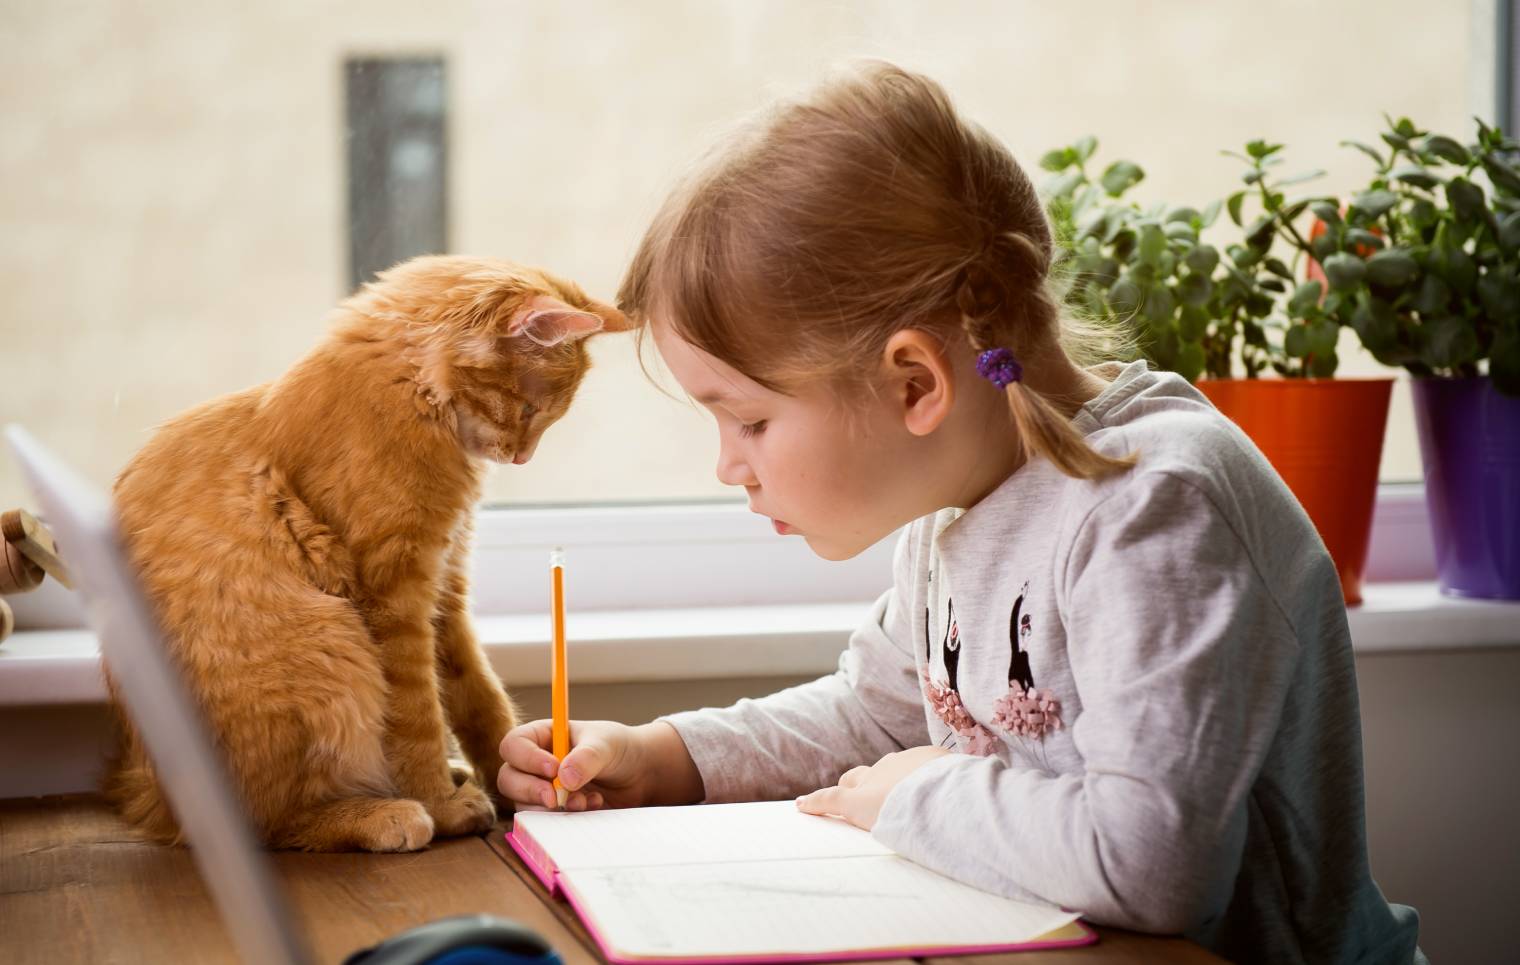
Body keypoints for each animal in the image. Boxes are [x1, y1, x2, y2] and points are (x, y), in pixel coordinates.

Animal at [108, 256, 629, 851]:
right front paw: (441, 803)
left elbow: (479, 698)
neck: (416, 398)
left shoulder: (444, 589)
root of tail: (153, 799)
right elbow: (418, 717)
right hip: (328, 642)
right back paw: (385, 814)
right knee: (271, 822)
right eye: (528, 408)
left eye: (543, 415)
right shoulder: (394, 596)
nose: (522, 457)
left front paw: (522, 776)